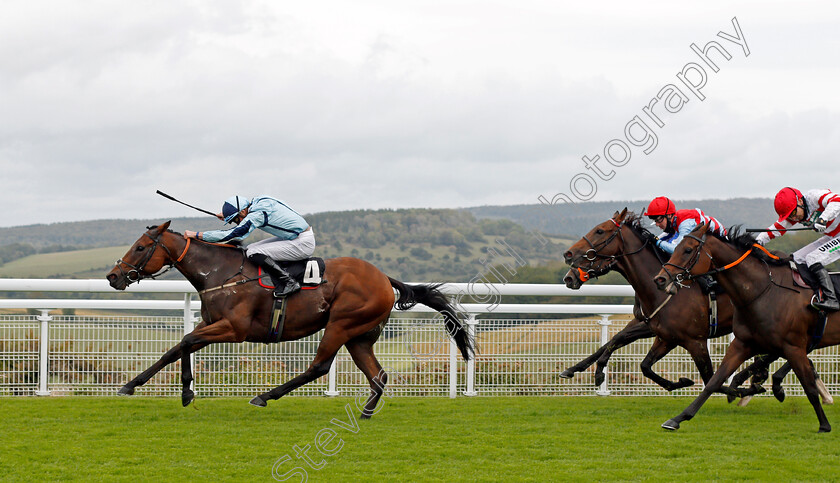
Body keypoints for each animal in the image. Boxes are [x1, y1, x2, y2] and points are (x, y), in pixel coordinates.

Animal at [105, 222, 472, 416]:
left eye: (140, 247)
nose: (113, 276)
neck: (221, 272)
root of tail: (385, 278)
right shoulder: (209, 323)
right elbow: (173, 349)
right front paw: (130, 385)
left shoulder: (234, 330)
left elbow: (184, 342)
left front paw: (185, 392)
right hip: (360, 336)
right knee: (378, 375)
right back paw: (366, 413)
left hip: (341, 324)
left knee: (319, 367)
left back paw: (265, 396)